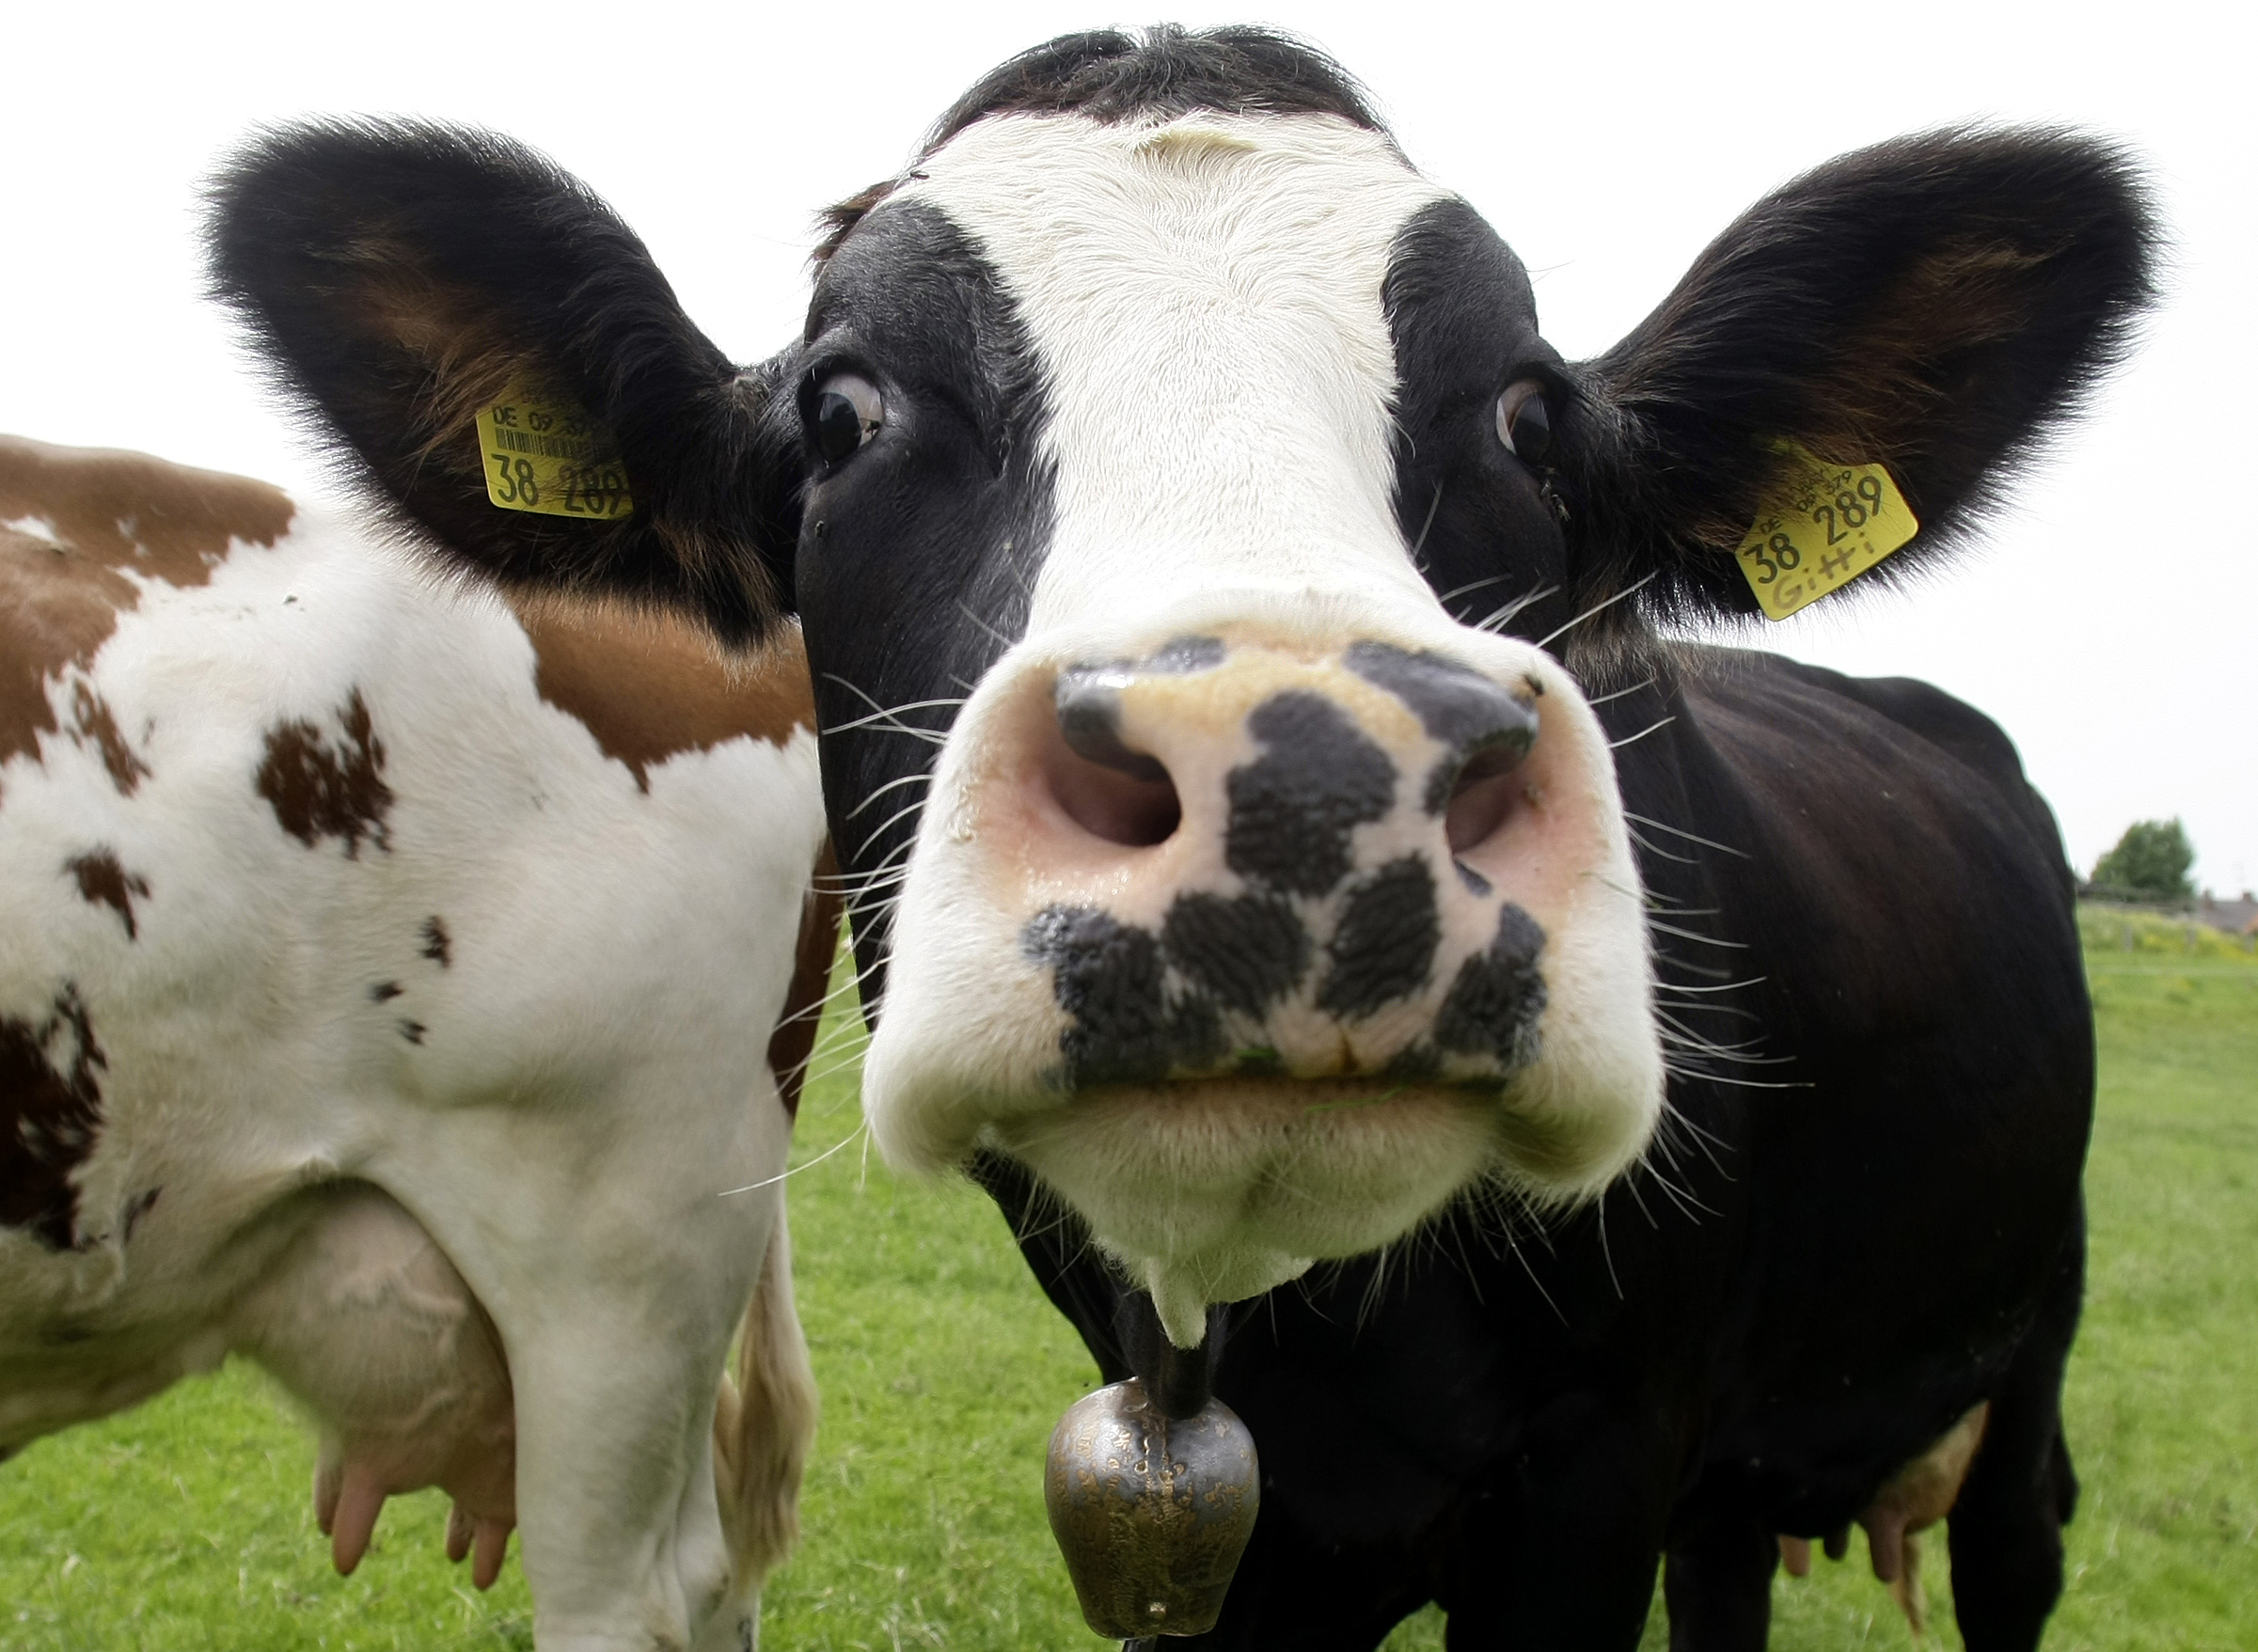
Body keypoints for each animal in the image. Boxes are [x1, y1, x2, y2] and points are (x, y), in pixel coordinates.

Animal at [204, 25, 2153, 1650]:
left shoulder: (1600, 1461)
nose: (1307, 775)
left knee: (2016, 1544)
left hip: (2035, 1334)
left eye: (1527, 408)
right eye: (843, 409)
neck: (1326, 1349)